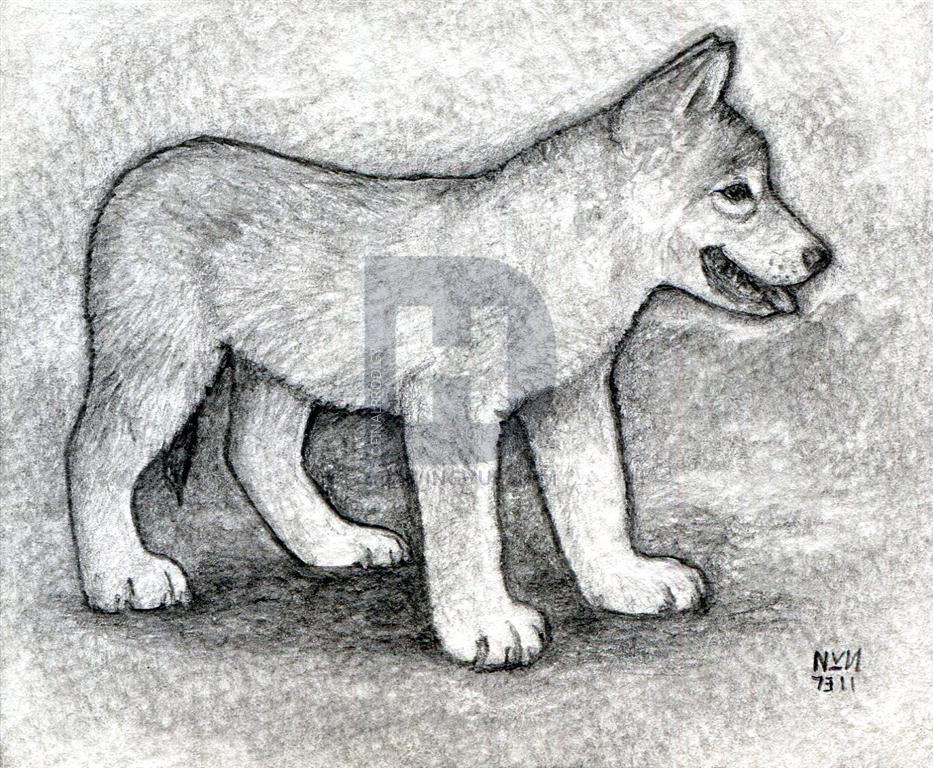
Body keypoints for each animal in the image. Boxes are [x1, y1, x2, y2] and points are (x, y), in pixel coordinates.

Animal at [67, 34, 831, 669]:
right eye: (738, 194)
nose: (820, 256)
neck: (567, 248)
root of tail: (147, 170)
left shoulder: (572, 396)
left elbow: (597, 498)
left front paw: (625, 581)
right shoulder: (450, 410)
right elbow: (470, 532)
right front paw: (486, 627)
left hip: (283, 362)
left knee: (255, 452)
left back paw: (334, 544)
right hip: (164, 362)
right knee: (91, 452)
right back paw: (120, 575)